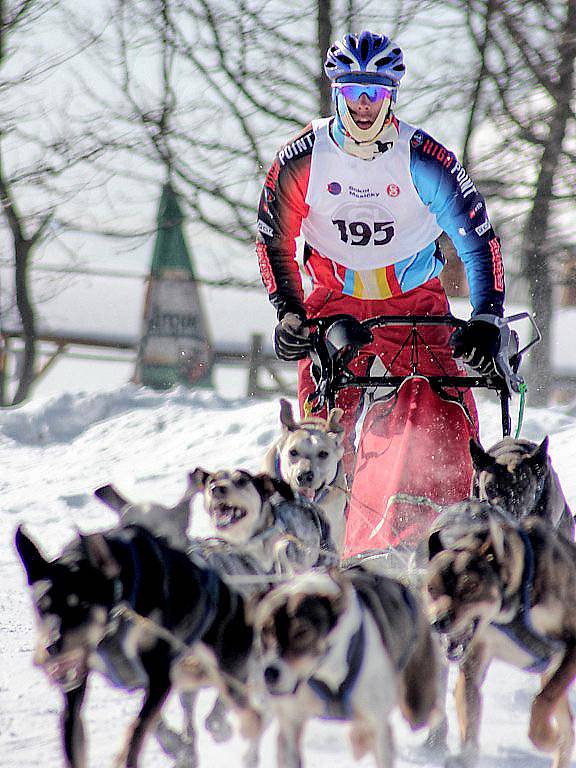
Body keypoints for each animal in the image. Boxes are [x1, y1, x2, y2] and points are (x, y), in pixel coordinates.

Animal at [250, 564, 438, 768]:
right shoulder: (290, 723)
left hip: (417, 704)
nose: (270, 673)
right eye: (265, 630)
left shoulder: (378, 724)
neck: (325, 670)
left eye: (302, 632)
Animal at [426, 512, 576, 768]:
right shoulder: (475, 661)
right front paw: (466, 755)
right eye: (431, 588)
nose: (439, 621)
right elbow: (469, 707)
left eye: (469, 586)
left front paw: (545, 737)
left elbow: (542, 700)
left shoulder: (573, 644)